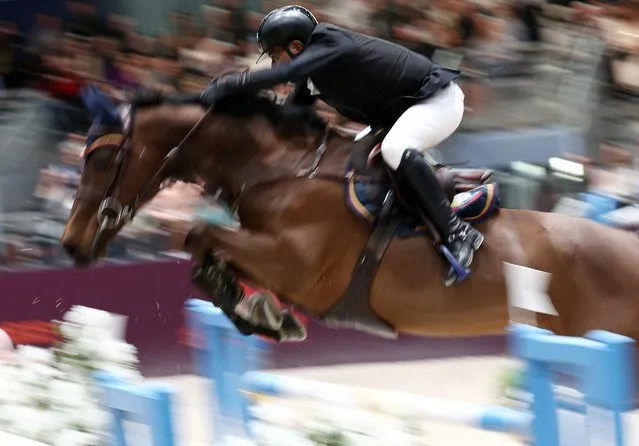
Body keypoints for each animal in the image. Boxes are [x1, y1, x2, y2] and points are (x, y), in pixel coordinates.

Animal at [61, 84, 639, 348]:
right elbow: (202, 248)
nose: (70, 244)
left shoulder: (296, 264)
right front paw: (260, 314)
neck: (282, 170)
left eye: (103, 160)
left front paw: (263, 316)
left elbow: (199, 233)